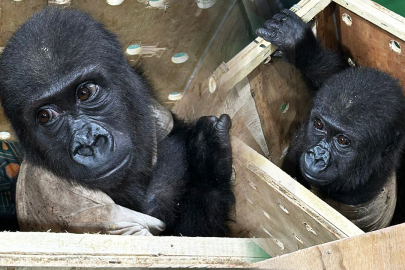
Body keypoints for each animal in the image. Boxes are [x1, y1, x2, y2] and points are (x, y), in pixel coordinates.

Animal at [0, 7, 234, 236]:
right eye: (45, 116)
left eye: (85, 92)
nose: (88, 142)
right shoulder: (78, 207)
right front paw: (208, 165)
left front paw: (206, 155)